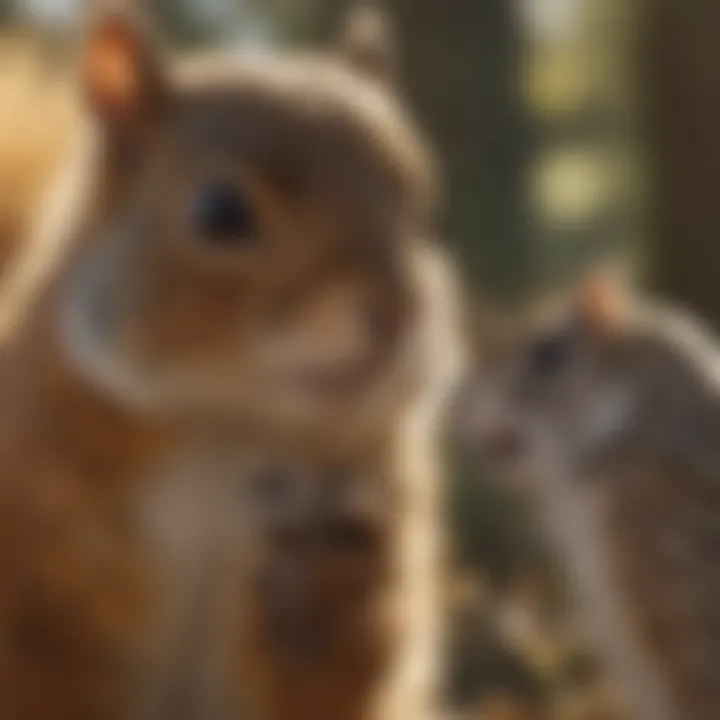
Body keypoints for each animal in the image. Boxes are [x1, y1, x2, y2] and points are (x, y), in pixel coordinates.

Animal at [0, 2, 464, 716]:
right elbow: (45, 677)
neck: (223, 420)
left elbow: (337, 675)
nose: (396, 313)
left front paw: (322, 595)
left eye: (422, 206)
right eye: (220, 212)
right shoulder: (39, 583)